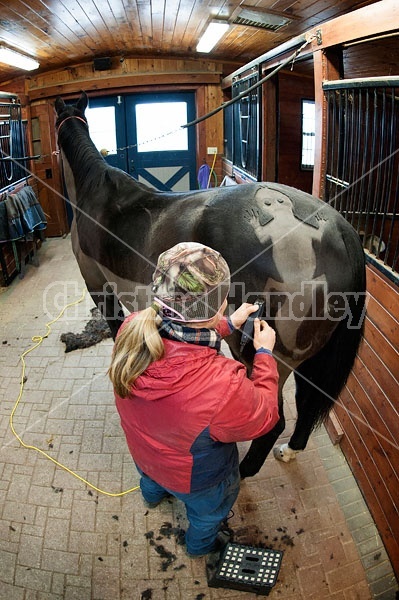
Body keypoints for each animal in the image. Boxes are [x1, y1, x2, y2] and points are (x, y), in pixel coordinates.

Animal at [54, 92, 368, 478]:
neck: (95, 191)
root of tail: (340, 232)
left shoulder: (98, 286)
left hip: (264, 350)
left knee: (274, 417)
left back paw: (242, 471)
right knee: (306, 404)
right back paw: (289, 451)